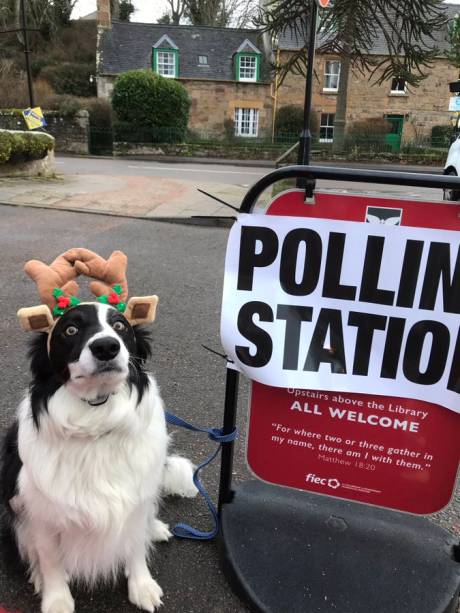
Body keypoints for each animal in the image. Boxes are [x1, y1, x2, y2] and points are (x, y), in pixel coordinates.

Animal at [0, 302, 196, 612]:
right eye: (70, 330)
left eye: (119, 326)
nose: (106, 347)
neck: (96, 417)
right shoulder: (41, 510)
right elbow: (49, 558)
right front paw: (57, 599)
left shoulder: (135, 497)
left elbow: (135, 545)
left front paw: (142, 586)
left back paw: (154, 528)